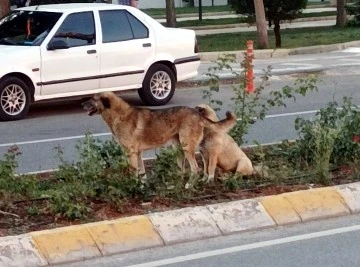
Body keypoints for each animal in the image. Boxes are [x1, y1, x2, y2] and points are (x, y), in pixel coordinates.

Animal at [81, 92, 236, 178]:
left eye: (93, 99)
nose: (82, 104)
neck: (119, 115)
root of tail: (197, 114)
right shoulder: (138, 154)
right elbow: (142, 175)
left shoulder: (131, 154)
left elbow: (134, 174)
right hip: (180, 150)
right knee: (198, 167)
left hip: (186, 148)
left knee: (195, 169)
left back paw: (188, 187)